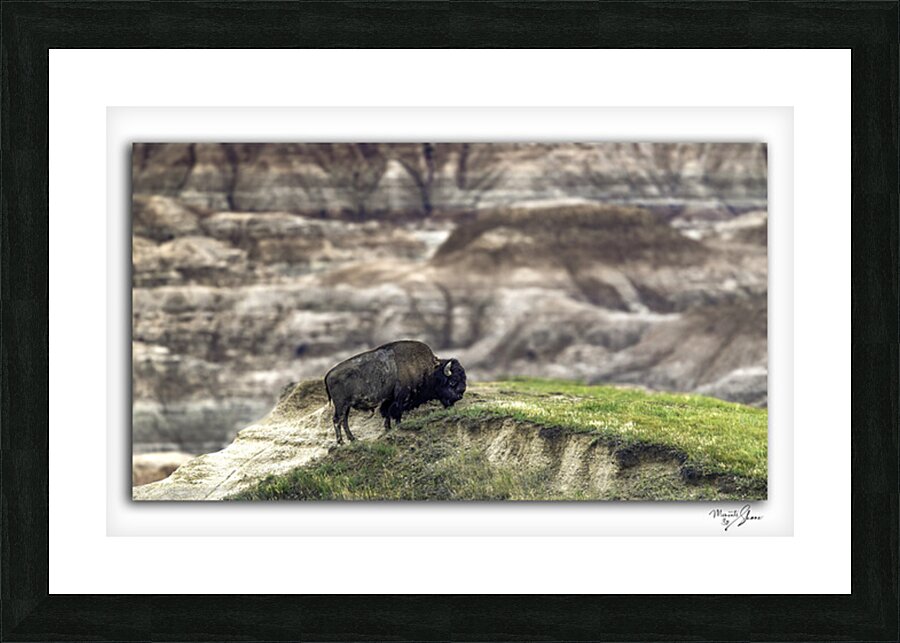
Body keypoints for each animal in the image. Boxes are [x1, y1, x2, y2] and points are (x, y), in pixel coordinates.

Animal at [324, 340, 467, 444]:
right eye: (453, 381)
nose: (460, 395)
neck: (430, 371)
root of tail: (329, 373)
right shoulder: (401, 399)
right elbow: (396, 413)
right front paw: (398, 426)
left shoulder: (389, 400)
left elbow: (387, 414)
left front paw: (388, 428)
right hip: (341, 405)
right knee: (337, 420)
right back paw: (341, 442)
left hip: (346, 406)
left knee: (344, 421)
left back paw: (353, 439)